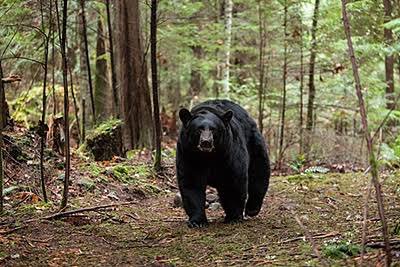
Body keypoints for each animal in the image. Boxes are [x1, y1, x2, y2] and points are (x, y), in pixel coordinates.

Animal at [177, 100, 270, 228]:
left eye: (213, 129)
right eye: (199, 129)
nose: (206, 142)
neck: (207, 156)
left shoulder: (229, 152)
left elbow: (232, 181)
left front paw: (234, 217)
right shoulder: (188, 154)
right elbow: (191, 183)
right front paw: (197, 221)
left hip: (253, 142)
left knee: (259, 171)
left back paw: (252, 209)